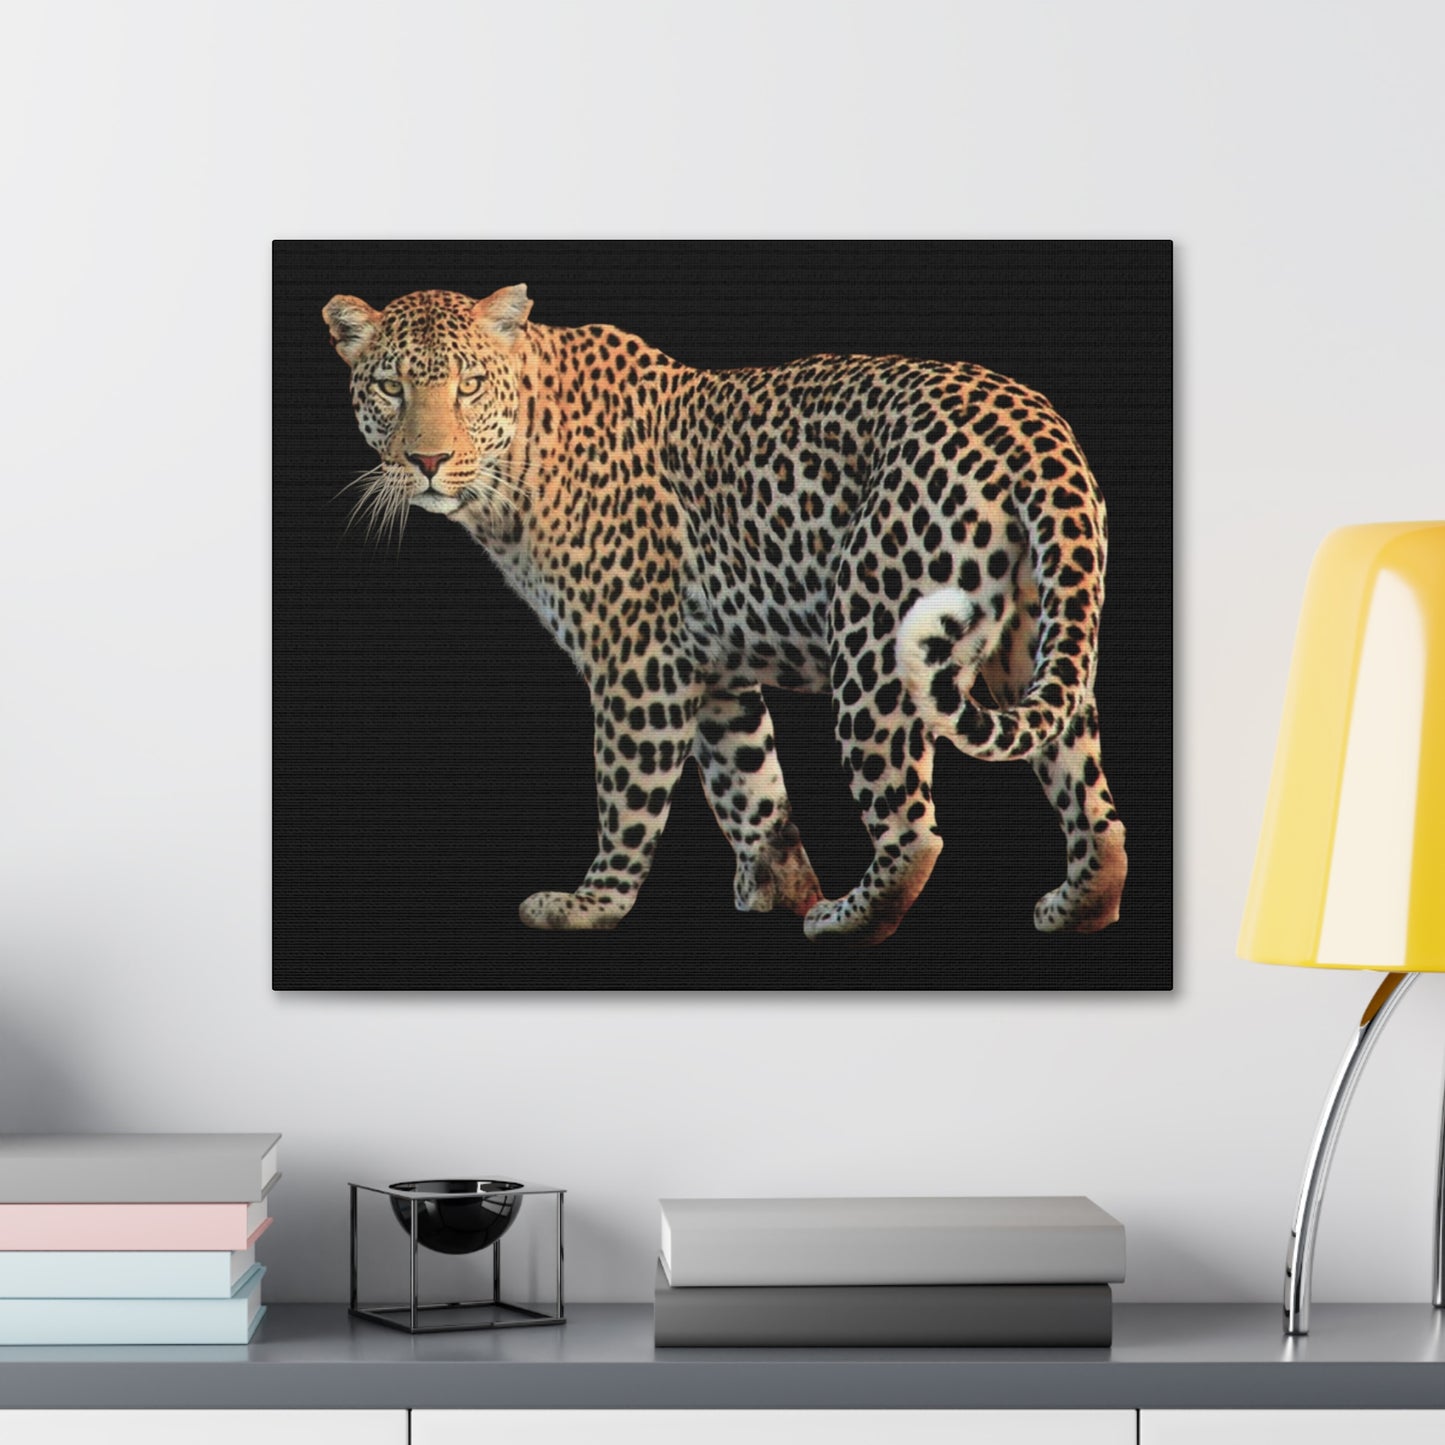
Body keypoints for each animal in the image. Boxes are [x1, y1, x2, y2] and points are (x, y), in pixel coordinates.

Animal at [322, 284, 1128, 945]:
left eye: (468, 386)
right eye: (391, 388)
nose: (428, 462)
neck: (514, 469)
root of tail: (1034, 427)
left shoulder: (639, 663)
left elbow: (628, 794)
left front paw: (592, 905)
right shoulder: (712, 672)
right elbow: (751, 787)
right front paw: (781, 887)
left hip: (873, 636)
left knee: (912, 829)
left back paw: (846, 920)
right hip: (1037, 639)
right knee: (1092, 801)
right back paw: (1075, 906)